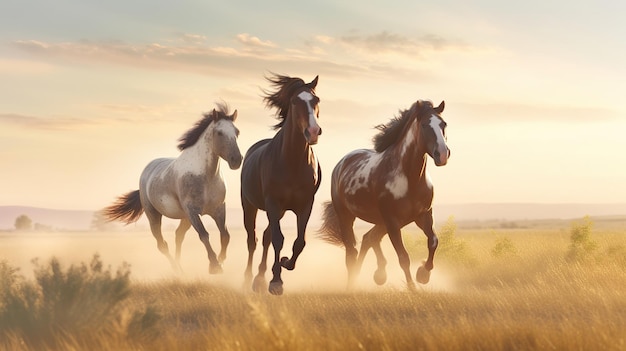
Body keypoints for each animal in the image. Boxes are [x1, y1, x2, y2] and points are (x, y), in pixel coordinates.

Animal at [240, 74, 322, 296]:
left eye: (316, 100)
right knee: (252, 240)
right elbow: (278, 239)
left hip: (280, 211)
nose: (313, 131)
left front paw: (285, 263)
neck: (292, 161)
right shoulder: (273, 203)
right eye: (294, 101)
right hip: (250, 206)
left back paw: (259, 278)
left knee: (265, 237)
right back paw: (249, 279)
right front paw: (276, 281)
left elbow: (299, 242)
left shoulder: (305, 205)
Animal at [316, 99, 448, 292]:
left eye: (443, 124)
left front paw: (423, 274)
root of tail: (341, 163)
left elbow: (433, 241)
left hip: (385, 221)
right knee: (352, 250)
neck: (410, 179)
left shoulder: (423, 215)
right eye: (424, 125)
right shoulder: (392, 221)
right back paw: (353, 283)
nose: (443, 154)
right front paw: (412, 288)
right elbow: (403, 256)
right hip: (347, 216)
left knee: (369, 238)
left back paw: (377, 274)